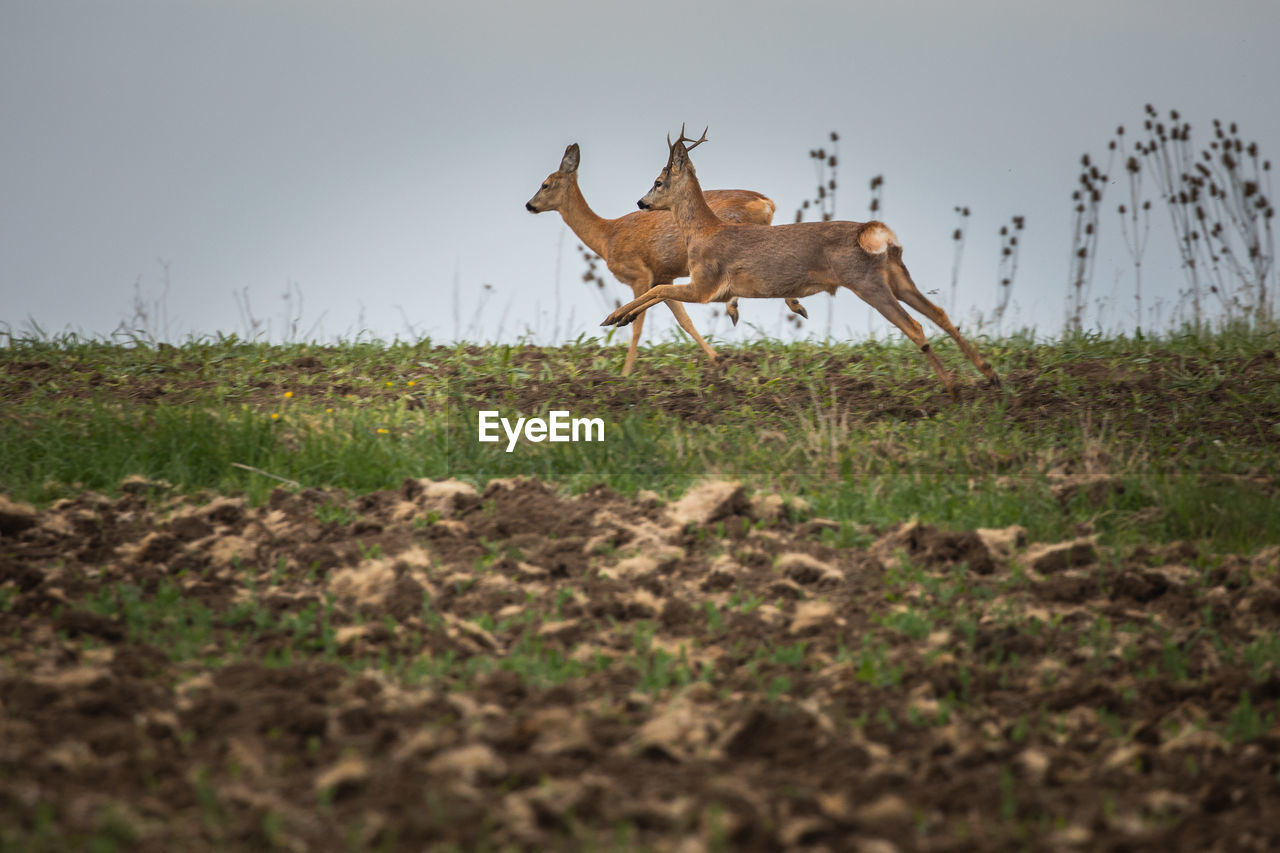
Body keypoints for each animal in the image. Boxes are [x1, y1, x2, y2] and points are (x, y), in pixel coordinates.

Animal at [524, 140, 803, 373]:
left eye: (544, 184)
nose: (529, 205)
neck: (606, 237)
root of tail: (766, 202)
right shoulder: (662, 277)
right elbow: (684, 320)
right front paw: (717, 359)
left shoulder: (638, 273)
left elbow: (639, 328)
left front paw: (625, 373)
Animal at [599, 126, 998, 399]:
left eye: (658, 181)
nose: (640, 202)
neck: (703, 232)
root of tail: (875, 231)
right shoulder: (707, 287)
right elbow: (658, 293)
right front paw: (620, 318)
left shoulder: (707, 284)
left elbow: (658, 290)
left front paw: (615, 317)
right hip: (897, 274)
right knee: (940, 314)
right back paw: (989, 374)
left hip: (866, 281)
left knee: (915, 326)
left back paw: (952, 386)